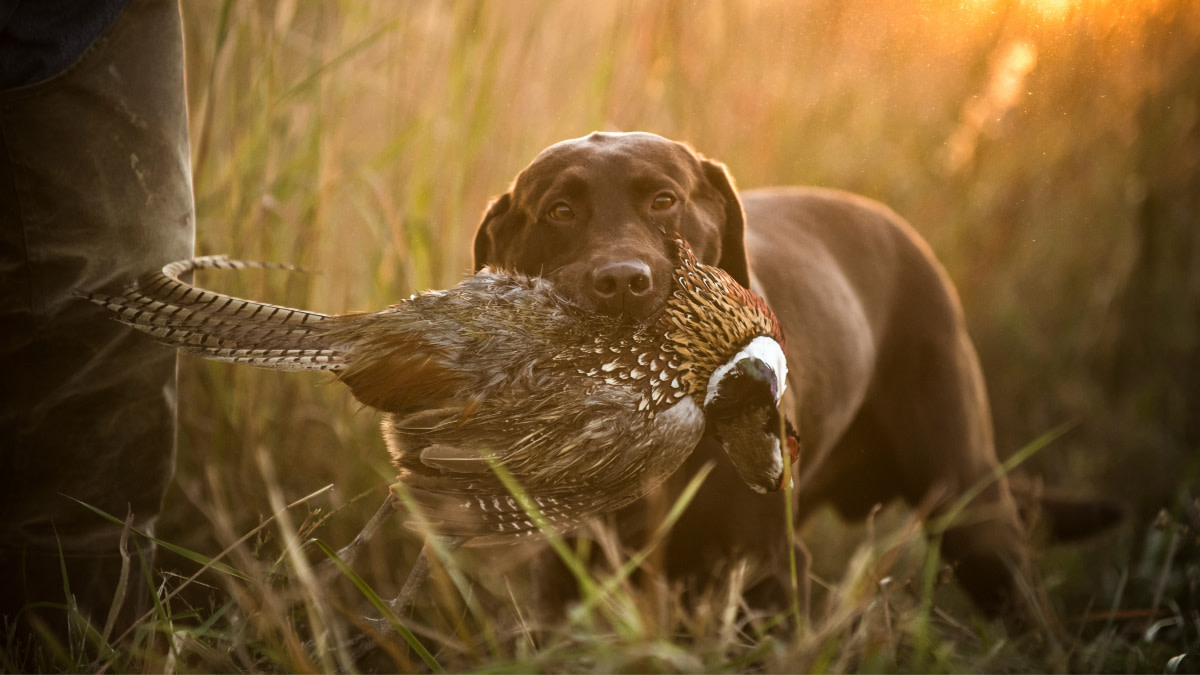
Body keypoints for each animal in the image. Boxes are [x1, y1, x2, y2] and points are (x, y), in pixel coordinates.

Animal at [468, 130, 1099, 614]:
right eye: (560, 211)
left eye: (664, 200)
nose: (623, 280)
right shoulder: (564, 571)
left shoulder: (762, 570)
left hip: (971, 504)